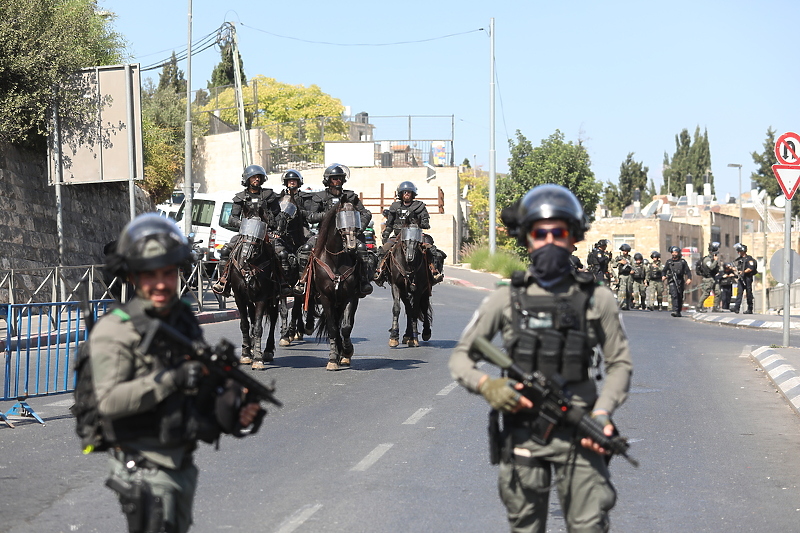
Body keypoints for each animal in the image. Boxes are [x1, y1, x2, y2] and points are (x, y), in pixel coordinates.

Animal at [228, 210, 282, 368]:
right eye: (245, 230)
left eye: (260, 232)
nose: (246, 254)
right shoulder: (239, 297)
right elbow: (245, 324)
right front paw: (246, 354)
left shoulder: (262, 297)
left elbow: (258, 326)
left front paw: (258, 358)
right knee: (251, 317)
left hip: (273, 299)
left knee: (273, 318)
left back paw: (267, 350)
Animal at [304, 200, 364, 370]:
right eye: (342, 218)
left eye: (356, 217)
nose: (352, 247)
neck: (336, 261)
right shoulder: (326, 298)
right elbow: (332, 328)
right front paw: (332, 358)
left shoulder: (351, 297)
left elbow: (346, 327)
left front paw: (347, 351)